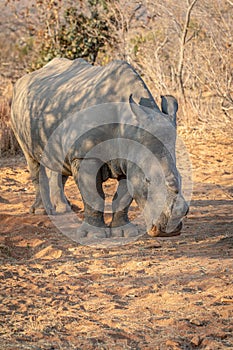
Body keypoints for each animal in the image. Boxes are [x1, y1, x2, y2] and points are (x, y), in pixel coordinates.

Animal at [11, 58, 189, 239]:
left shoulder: (128, 156)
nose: (170, 231)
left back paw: (64, 209)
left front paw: (124, 232)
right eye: (147, 180)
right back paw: (41, 211)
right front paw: (94, 235)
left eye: (181, 178)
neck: (128, 125)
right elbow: (94, 196)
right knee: (32, 160)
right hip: (20, 112)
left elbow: (123, 197)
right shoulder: (85, 155)